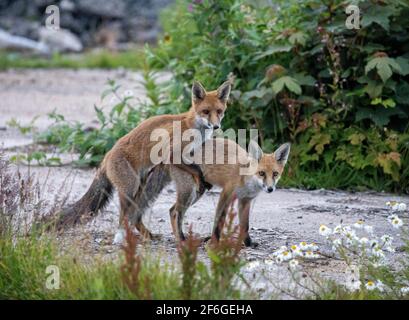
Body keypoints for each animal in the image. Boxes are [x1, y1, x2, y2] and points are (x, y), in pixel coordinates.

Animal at [55, 80, 231, 242]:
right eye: (206, 111)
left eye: (219, 111)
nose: (216, 126)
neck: (194, 127)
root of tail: (107, 155)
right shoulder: (172, 153)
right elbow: (196, 170)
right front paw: (201, 179)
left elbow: (195, 167)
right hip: (130, 188)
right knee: (124, 216)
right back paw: (121, 238)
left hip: (142, 184)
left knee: (136, 214)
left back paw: (146, 235)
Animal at [132, 138, 288, 248]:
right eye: (261, 173)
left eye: (275, 174)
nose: (270, 189)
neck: (247, 179)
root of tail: (170, 153)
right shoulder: (226, 194)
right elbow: (219, 222)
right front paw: (214, 243)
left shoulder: (245, 200)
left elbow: (245, 225)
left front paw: (248, 243)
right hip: (190, 191)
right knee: (176, 212)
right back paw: (181, 239)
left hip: (197, 192)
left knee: (171, 210)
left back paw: (180, 238)